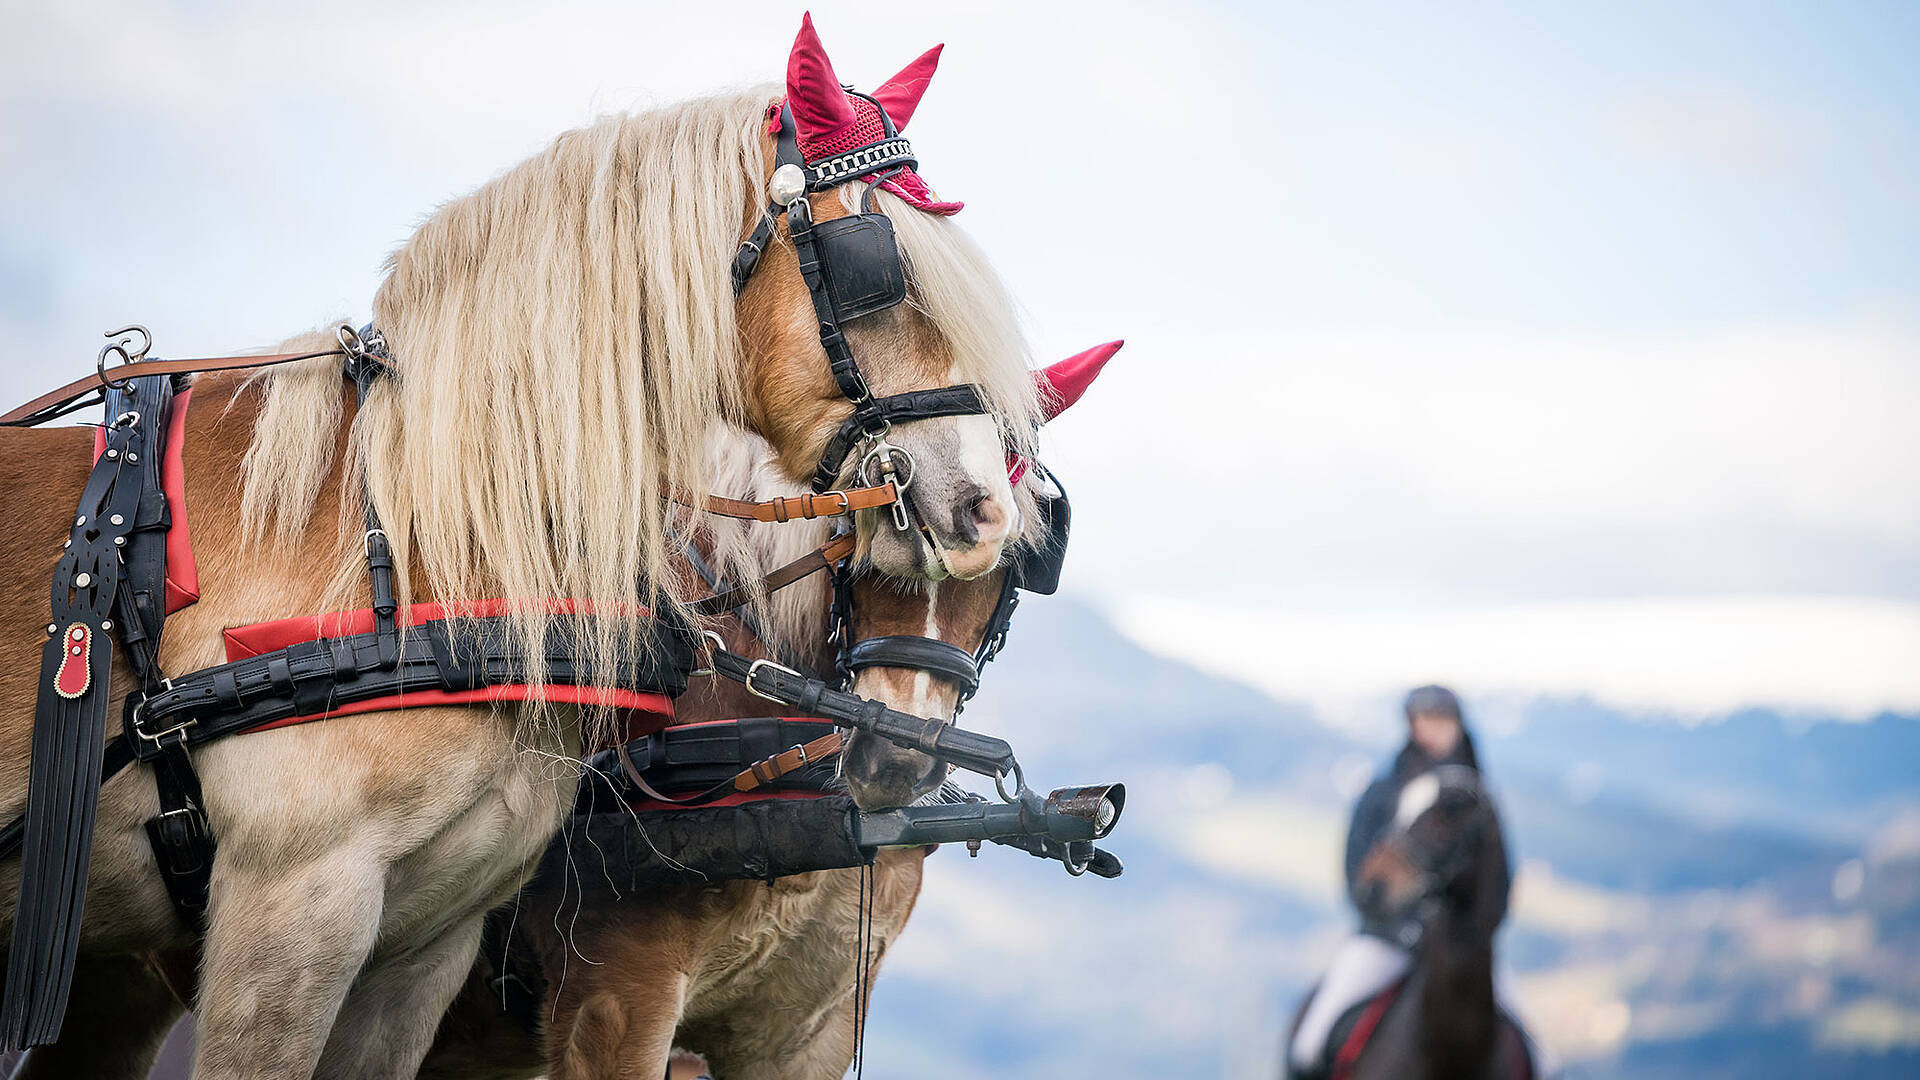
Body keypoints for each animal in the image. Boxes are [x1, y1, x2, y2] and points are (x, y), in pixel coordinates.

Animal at [0, 16, 1052, 1076]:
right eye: (884, 268)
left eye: (1026, 567)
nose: (985, 514)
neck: (424, 534)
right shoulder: (299, 909)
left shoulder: (428, 945)